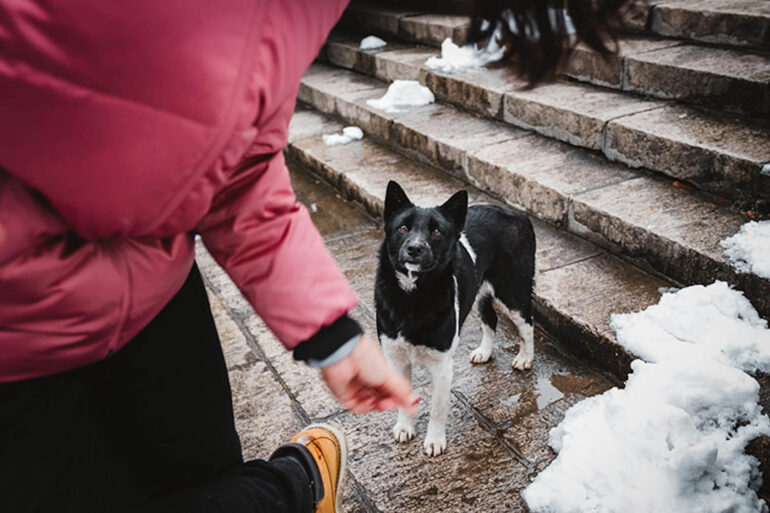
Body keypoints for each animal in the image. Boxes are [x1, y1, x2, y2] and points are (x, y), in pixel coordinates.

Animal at [374, 182, 532, 454]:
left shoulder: (442, 366)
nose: (414, 249)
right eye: (403, 228)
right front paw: (405, 427)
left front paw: (435, 441)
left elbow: (438, 410)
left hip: (513, 292)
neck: (413, 297)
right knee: (491, 322)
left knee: (527, 325)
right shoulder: (397, 359)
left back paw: (525, 357)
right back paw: (485, 352)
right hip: (480, 292)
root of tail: (516, 214)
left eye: (436, 232)